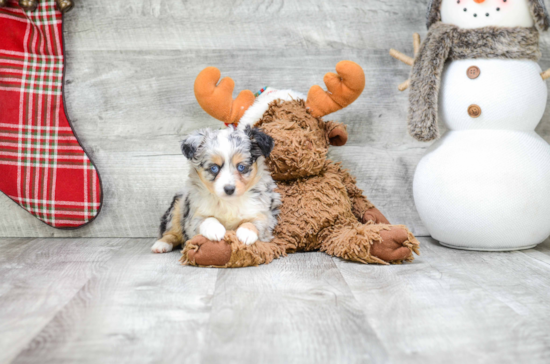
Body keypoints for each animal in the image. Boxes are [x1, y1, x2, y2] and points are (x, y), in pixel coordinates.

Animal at [151, 125, 280, 253]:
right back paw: (161, 244)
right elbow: (207, 219)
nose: (229, 189)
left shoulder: (264, 213)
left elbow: (256, 221)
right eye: (214, 168)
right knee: (172, 232)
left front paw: (246, 233)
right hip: (177, 207)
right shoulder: (194, 217)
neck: (229, 202)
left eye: (241, 167)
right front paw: (215, 230)